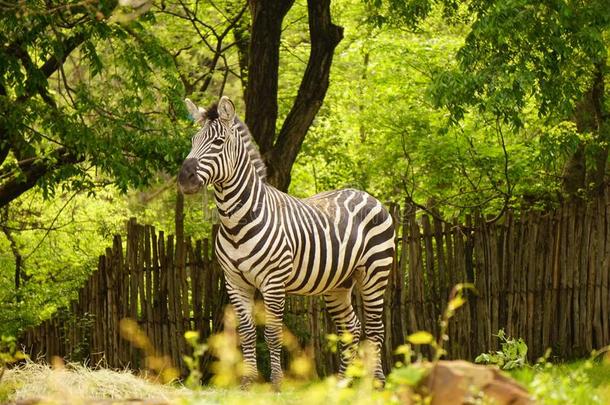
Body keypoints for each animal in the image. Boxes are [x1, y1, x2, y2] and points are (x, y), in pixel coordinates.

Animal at [176, 96, 394, 386]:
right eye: (193, 140)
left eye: (218, 142)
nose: (184, 179)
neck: (236, 223)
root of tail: (366, 194)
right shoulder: (235, 283)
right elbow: (247, 333)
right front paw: (247, 384)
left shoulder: (273, 282)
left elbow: (272, 334)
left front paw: (277, 383)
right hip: (339, 283)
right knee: (352, 327)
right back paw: (341, 384)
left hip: (374, 273)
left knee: (375, 329)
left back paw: (377, 383)